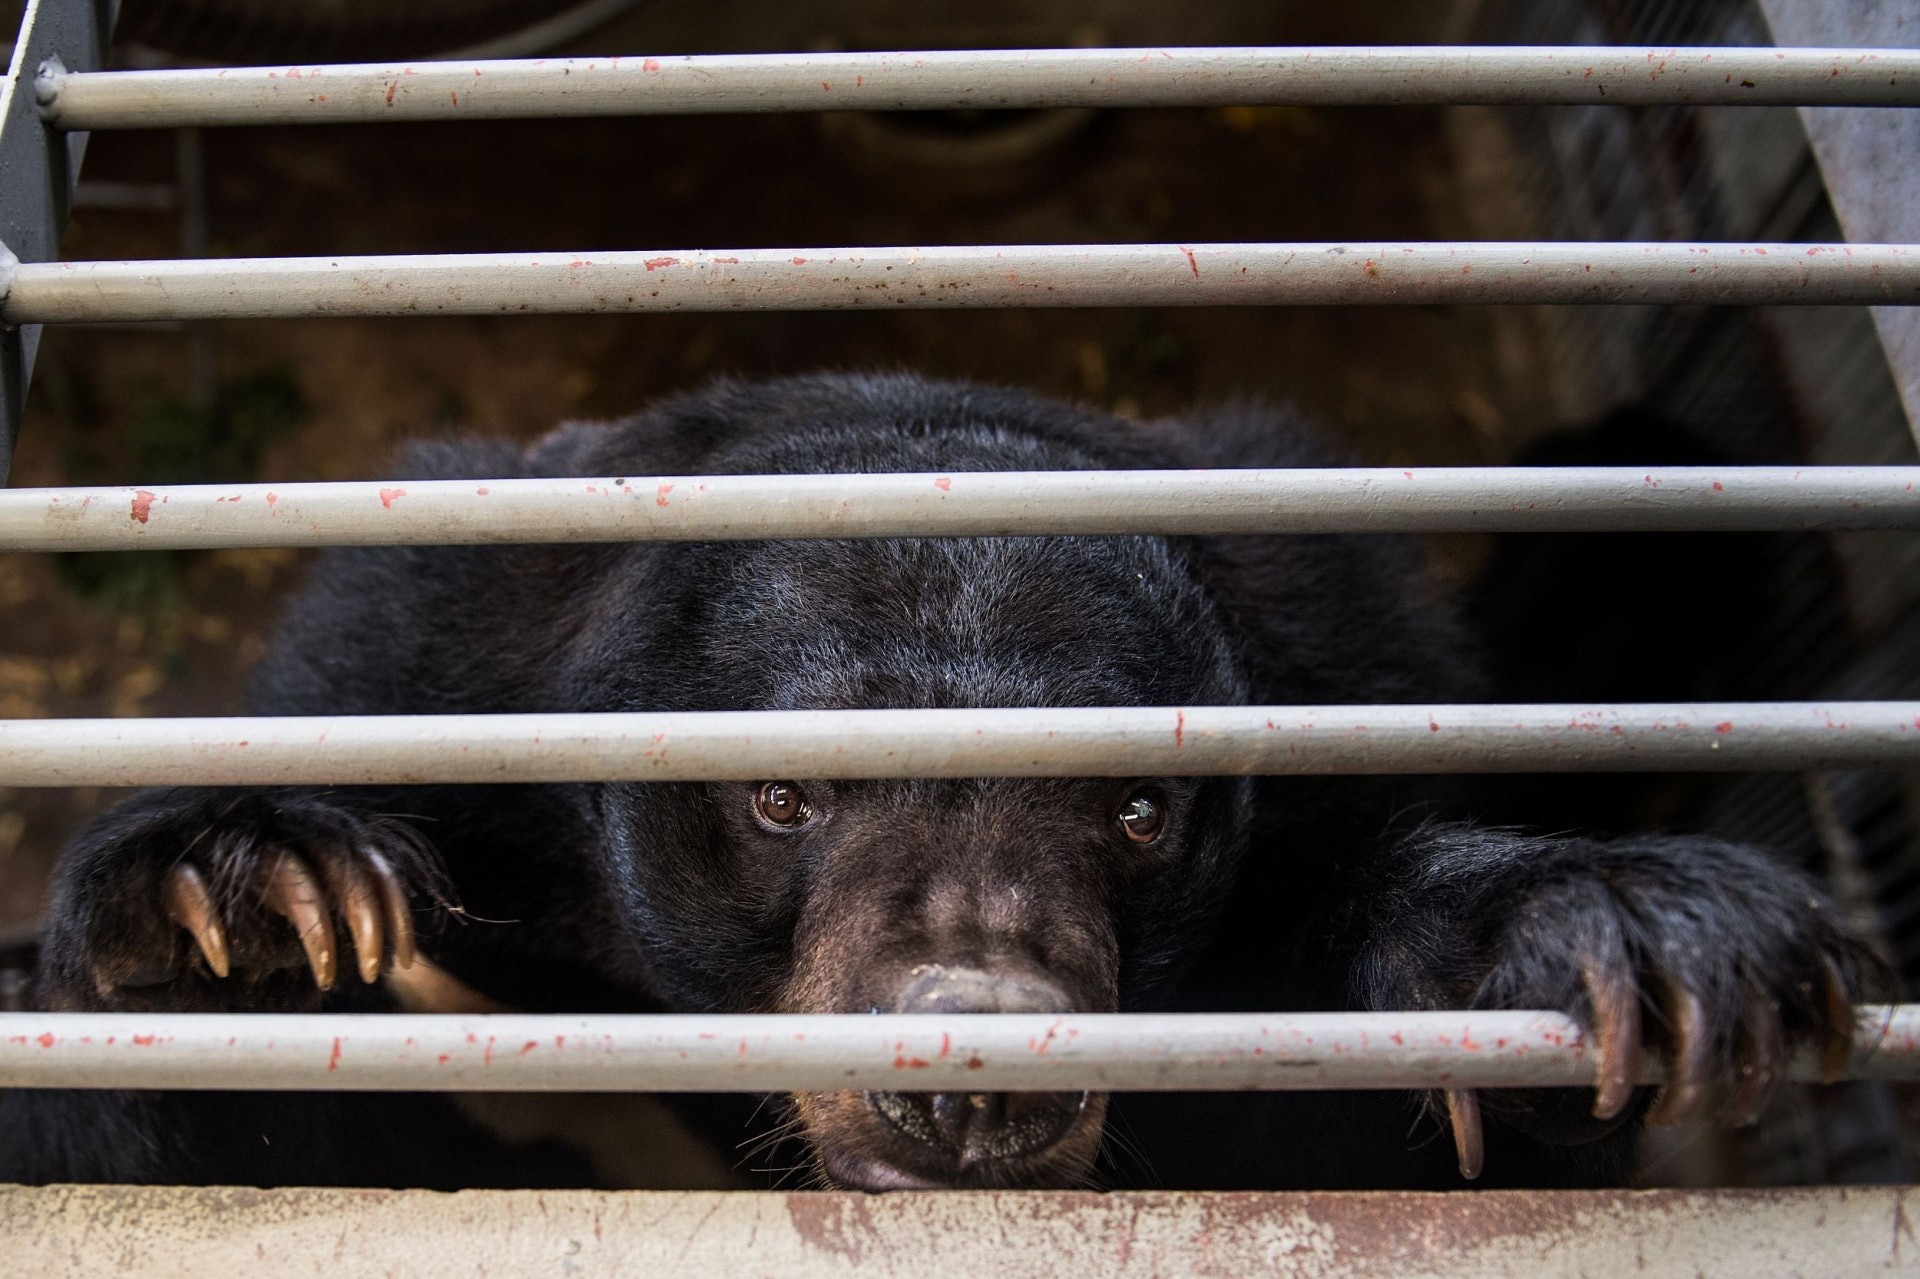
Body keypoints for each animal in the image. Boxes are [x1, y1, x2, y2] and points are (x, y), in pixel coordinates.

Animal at [0, 374, 1873, 1190]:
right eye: (782, 798)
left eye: (1138, 807)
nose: (977, 1076)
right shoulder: (409, 657)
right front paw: (230, 904)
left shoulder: (1356, 661)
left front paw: (1611, 943)